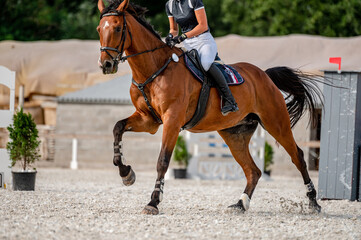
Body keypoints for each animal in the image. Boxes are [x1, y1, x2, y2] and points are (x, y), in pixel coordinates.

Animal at [95, 0, 320, 215]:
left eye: (117, 28)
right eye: (99, 29)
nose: (106, 65)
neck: (154, 69)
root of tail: (264, 75)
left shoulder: (172, 121)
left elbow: (163, 161)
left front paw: (153, 202)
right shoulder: (148, 119)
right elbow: (117, 128)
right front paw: (126, 173)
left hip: (276, 124)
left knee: (297, 157)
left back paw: (313, 202)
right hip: (234, 134)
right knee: (253, 171)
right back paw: (240, 204)